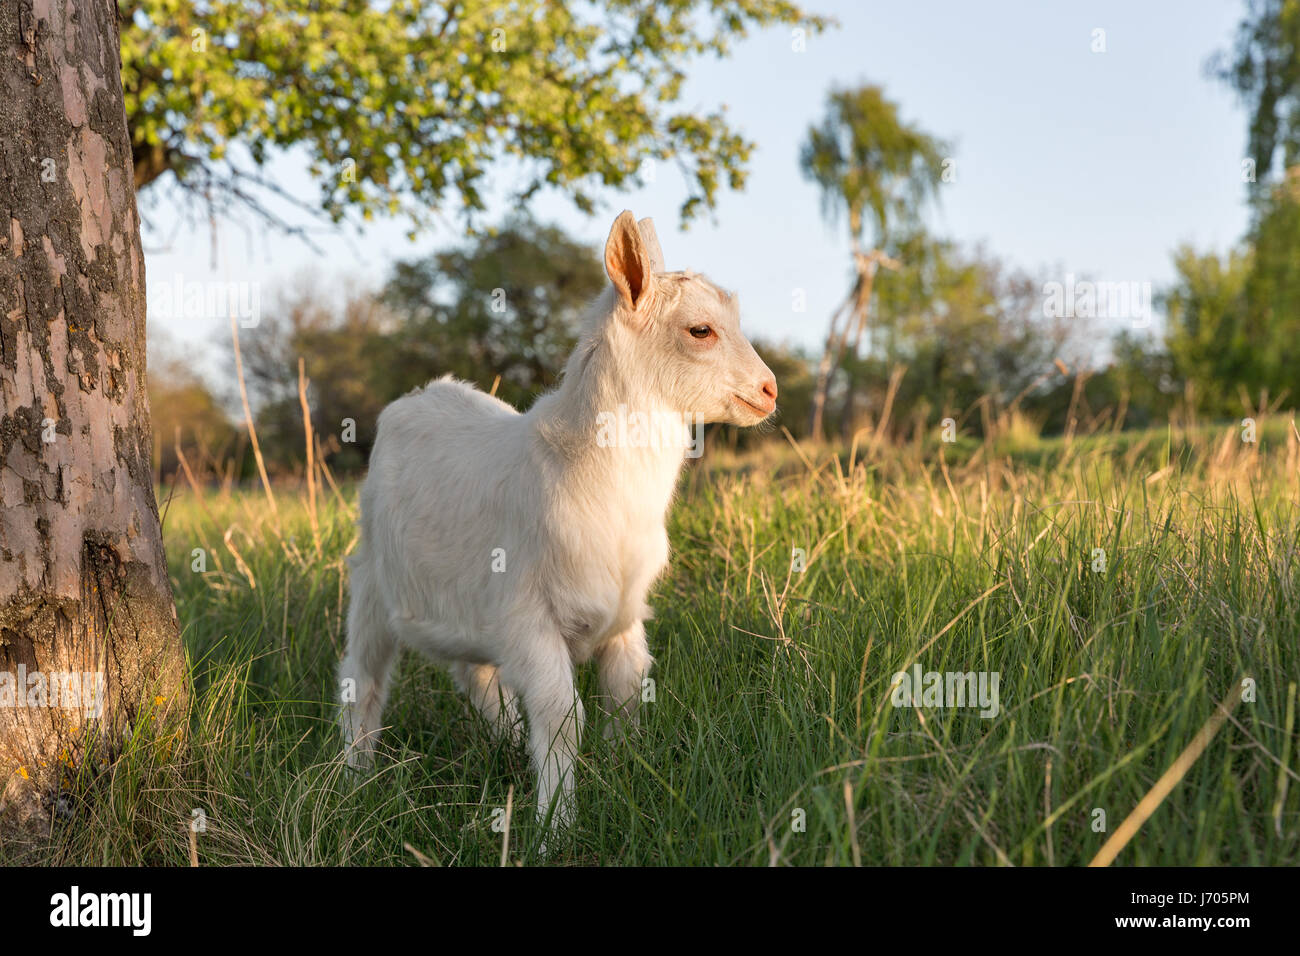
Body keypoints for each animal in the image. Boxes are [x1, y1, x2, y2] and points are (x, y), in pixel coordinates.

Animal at [339, 210, 778, 830]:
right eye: (700, 330)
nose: (769, 390)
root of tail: (424, 393)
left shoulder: (624, 613)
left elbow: (626, 692)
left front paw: (621, 776)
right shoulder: (529, 613)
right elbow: (561, 713)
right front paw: (556, 827)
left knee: (478, 677)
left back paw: (502, 744)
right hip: (373, 580)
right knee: (363, 677)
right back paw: (354, 779)